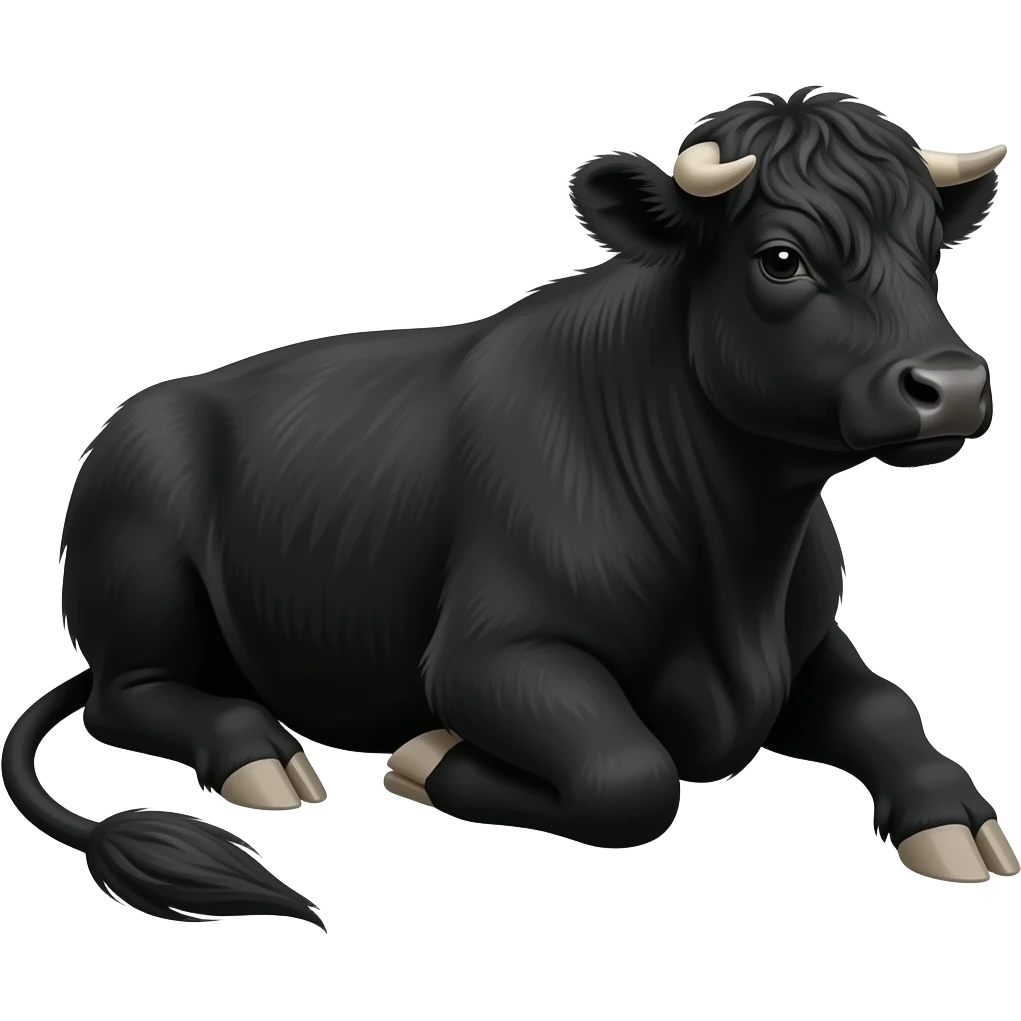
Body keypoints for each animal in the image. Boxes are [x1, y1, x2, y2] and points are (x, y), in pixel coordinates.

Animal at [4, 87, 1016, 931]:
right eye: (781, 258)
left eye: (929, 252)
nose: (954, 386)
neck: (738, 572)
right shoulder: (490, 653)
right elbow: (629, 774)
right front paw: (427, 759)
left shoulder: (808, 645)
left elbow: (887, 705)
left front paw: (957, 822)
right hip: (142, 568)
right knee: (126, 696)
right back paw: (256, 749)